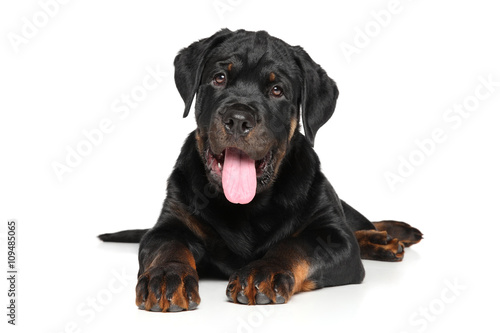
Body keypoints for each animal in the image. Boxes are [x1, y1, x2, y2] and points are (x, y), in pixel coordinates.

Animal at [98, 28, 422, 312]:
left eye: (277, 90)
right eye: (219, 78)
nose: (238, 119)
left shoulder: (333, 236)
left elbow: (297, 245)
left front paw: (263, 271)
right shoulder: (170, 223)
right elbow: (168, 247)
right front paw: (167, 276)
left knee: (358, 222)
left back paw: (389, 235)